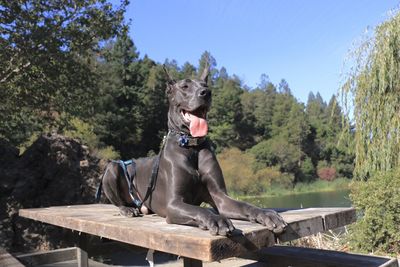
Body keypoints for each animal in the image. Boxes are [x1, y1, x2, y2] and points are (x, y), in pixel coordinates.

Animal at [100, 66, 288, 237]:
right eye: (184, 86)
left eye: (205, 85)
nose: (206, 92)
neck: (192, 146)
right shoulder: (174, 203)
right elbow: (202, 210)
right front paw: (217, 219)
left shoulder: (220, 197)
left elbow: (244, 205)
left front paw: (267, 214)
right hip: (113, 168)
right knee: (117, 199)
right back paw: (127, 209)